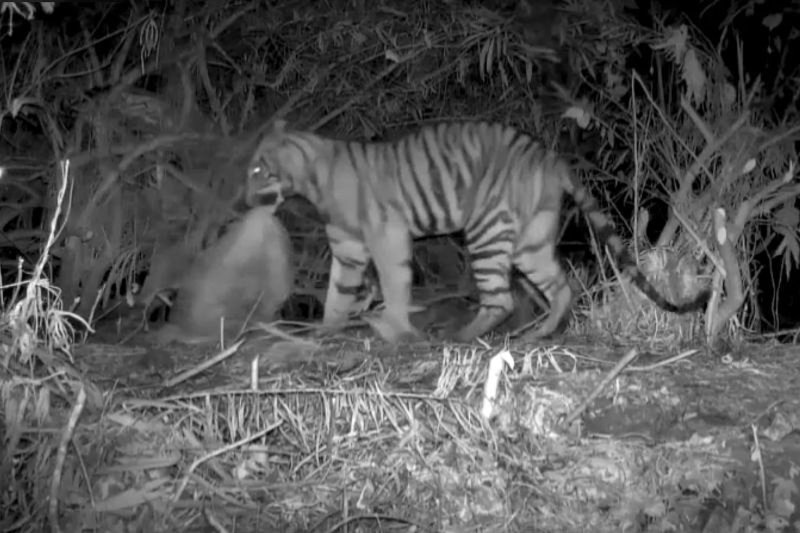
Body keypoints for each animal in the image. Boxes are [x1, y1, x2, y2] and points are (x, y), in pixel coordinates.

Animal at [245, 120, 709, 344]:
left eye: (256, 169)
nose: (243, 198)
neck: (312, 180)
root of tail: (549, 156)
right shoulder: (348, 249)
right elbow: (337, 294)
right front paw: (325, 330)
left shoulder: (385, 236)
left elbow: (393, 284)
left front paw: (395, 329)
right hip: (529, 241)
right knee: (560, 287)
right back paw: (538, 334)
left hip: (487, 230)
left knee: (502, 298)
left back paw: (460, 336)